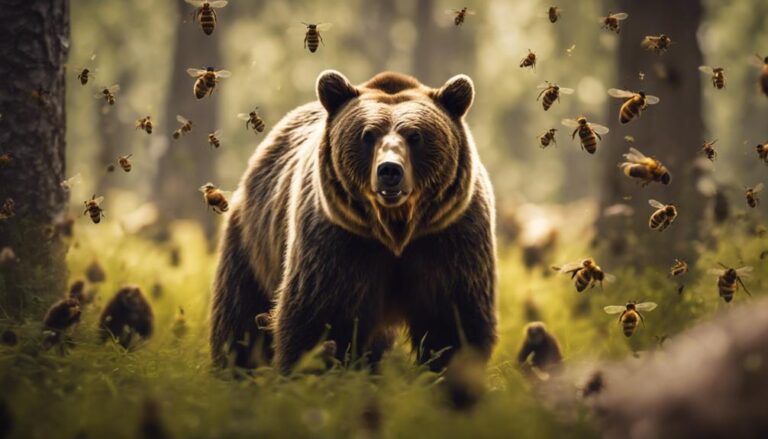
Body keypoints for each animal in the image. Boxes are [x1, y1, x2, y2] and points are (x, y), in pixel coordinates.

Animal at [210, 70, 497, 374]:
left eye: (415, 135)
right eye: (368, 135)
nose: (389, 170)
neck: (395, 230)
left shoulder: (449, 238)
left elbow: (452, 325)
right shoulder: (338, 242)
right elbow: (316, 319)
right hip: (251, 240)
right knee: (240, 316)